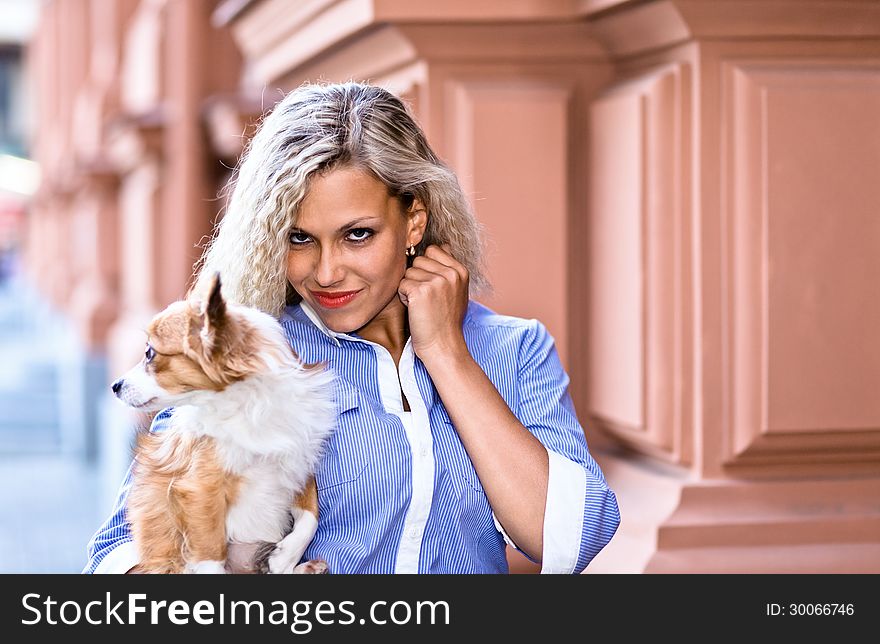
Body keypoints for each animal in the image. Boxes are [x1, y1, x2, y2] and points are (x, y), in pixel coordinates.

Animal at [111, 272, 336, 572]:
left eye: (149, 353)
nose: (115, 386)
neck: (249, 407)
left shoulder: (298, 463)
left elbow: (311, 515)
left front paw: (285, 557)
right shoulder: (201, 490)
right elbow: (211, 554)